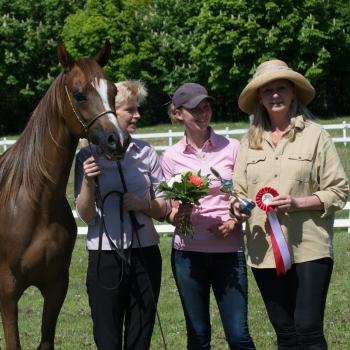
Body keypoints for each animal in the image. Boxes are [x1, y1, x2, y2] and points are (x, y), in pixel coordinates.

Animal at [0, 42, 129, 348]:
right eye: (79, 94)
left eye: (113, 91)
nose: (118, 141)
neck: (36, 204)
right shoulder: (8, 291)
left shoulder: (57, 285)